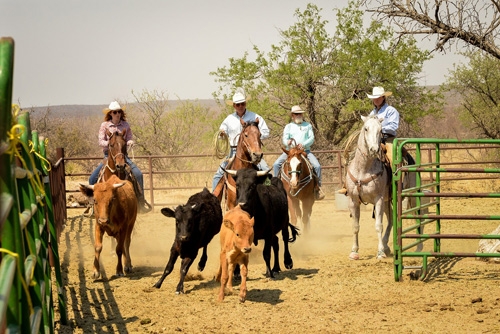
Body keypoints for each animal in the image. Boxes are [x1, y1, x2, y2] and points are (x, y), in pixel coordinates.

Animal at [346, 116, 392, 260]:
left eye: (381, 130)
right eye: (366, 128)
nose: (373, 149)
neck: (363, 169)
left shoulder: (379, 199)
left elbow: (378, 225)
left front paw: (380, 252)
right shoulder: (353, 201)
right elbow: (355, 226)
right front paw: (354, 251)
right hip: (388, 201)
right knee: (391, 220)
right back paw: (387, 246)